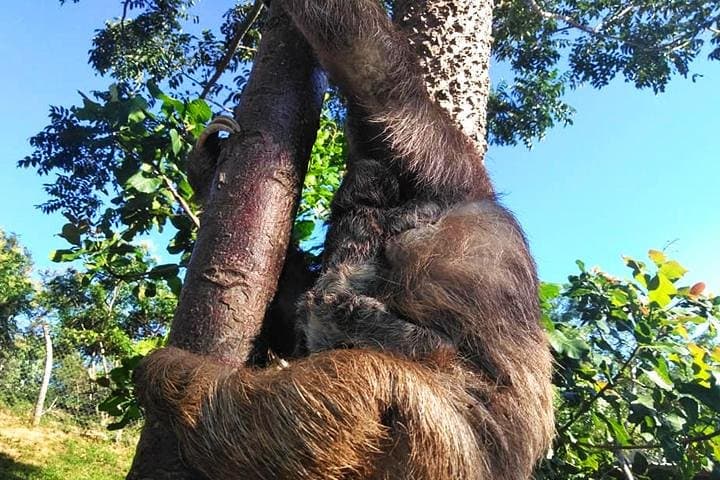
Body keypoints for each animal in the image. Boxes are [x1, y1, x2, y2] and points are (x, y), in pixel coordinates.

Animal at [135, 1, 555, 479]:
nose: (362, 198)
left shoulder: (453, 174)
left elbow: (378, 76)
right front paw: (207, 170)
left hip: (445, 441)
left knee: (335, 387)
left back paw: (172, 373)